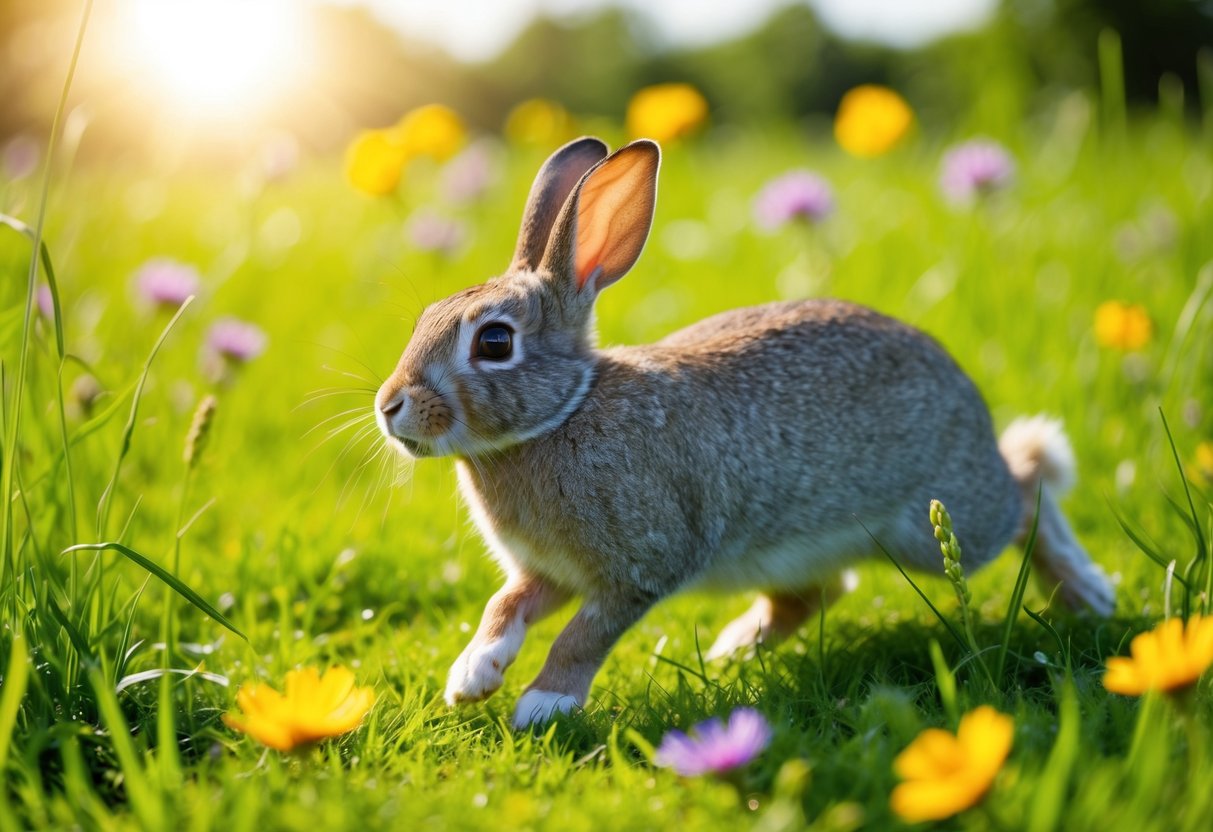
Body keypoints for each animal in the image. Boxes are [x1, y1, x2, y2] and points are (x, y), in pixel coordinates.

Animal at [374, 136, 1115, 729]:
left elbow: (580, 638)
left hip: (938, 527)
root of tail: (967, 396)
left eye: (494, 342)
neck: (563, 412)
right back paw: (736, 647)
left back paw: (1087, 591)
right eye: (428, 316)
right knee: (817, 593)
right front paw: (471, 677)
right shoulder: (550, 572)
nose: (389, 406)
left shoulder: (638, 567)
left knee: (1026, 486)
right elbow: (504, 607)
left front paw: (541, 705)